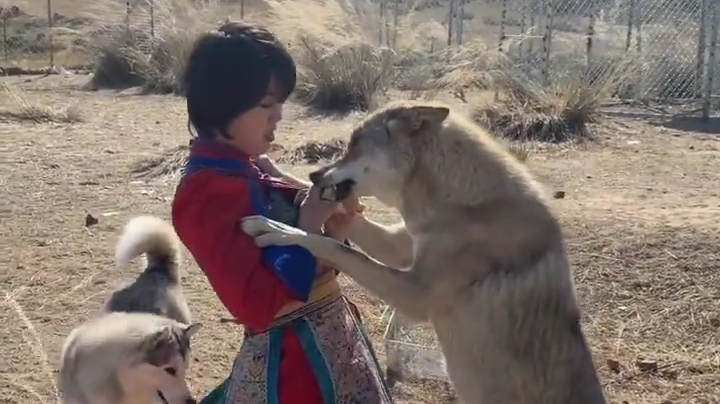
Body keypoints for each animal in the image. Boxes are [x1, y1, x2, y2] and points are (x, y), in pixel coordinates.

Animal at [242, 100, 608, 404]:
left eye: (355, 143)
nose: (315, 172)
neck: (461, 203)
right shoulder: (401, 246)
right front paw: (279, 173)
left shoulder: (414, 295)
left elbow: (331, 245)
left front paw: (277, 229)